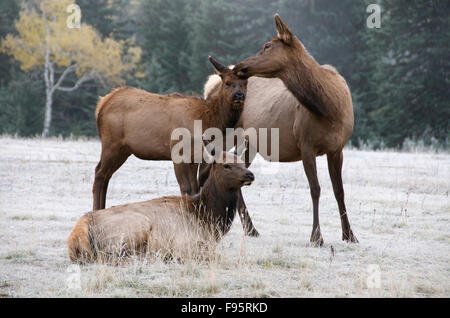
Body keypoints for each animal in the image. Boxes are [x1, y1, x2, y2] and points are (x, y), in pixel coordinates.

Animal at [68, 140, 255, 262]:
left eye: (242, 162)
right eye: (226, 165)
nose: (250, 174)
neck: (206, 219)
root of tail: (79, 230)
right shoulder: (184, 242)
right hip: (135, 227)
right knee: (113, 255)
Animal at [91, 57, 246, 225]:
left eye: (245, 82)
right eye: (227, 82)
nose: (239, 95)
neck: (206, 121)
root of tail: (101, 105)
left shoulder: (195, 157)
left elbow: (195, 188)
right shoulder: (178, 151)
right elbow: (186, 188)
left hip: (123, 150)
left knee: (106, 175)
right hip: (111, 143)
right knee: (99, 173)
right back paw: (96, 211)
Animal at [207, 14, 358, 246]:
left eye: (267, 45)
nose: (239, 66)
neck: (330, 109)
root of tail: (212, 84)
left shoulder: (337, 148)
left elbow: (339, 190)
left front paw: (350, 235)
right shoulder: (306, 144)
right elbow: (315, 189)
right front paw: (316, 236)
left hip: (249, 140)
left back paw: (251, 229)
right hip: (222, 130)